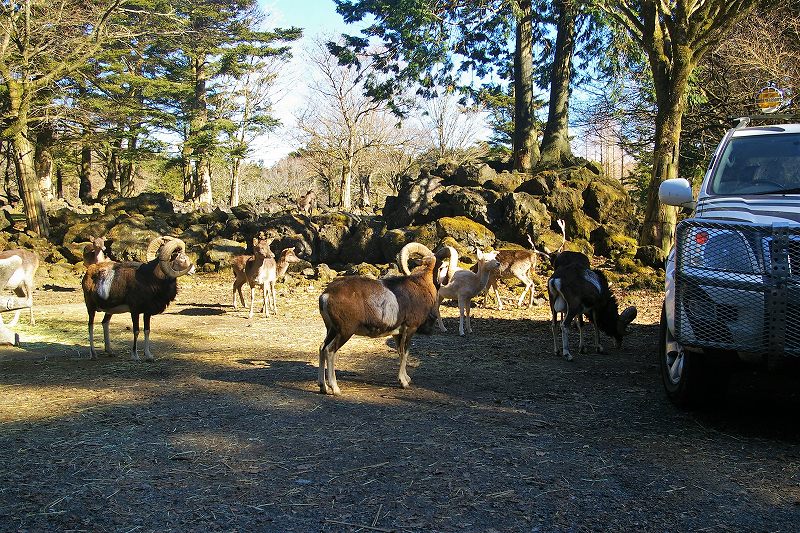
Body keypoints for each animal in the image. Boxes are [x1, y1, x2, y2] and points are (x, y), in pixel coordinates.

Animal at [318, 242, 449, 395]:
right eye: (443, 267)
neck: (421, 286)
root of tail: (326, 295)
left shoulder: (397, 333)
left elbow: (400, 352)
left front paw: (406, 378)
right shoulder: (410, 328)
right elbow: (405, 352)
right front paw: (404, 383)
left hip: (331, 330)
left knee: (322, 348)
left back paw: (323, 386)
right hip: (344, 331)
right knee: (329, 350)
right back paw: (335, 388)